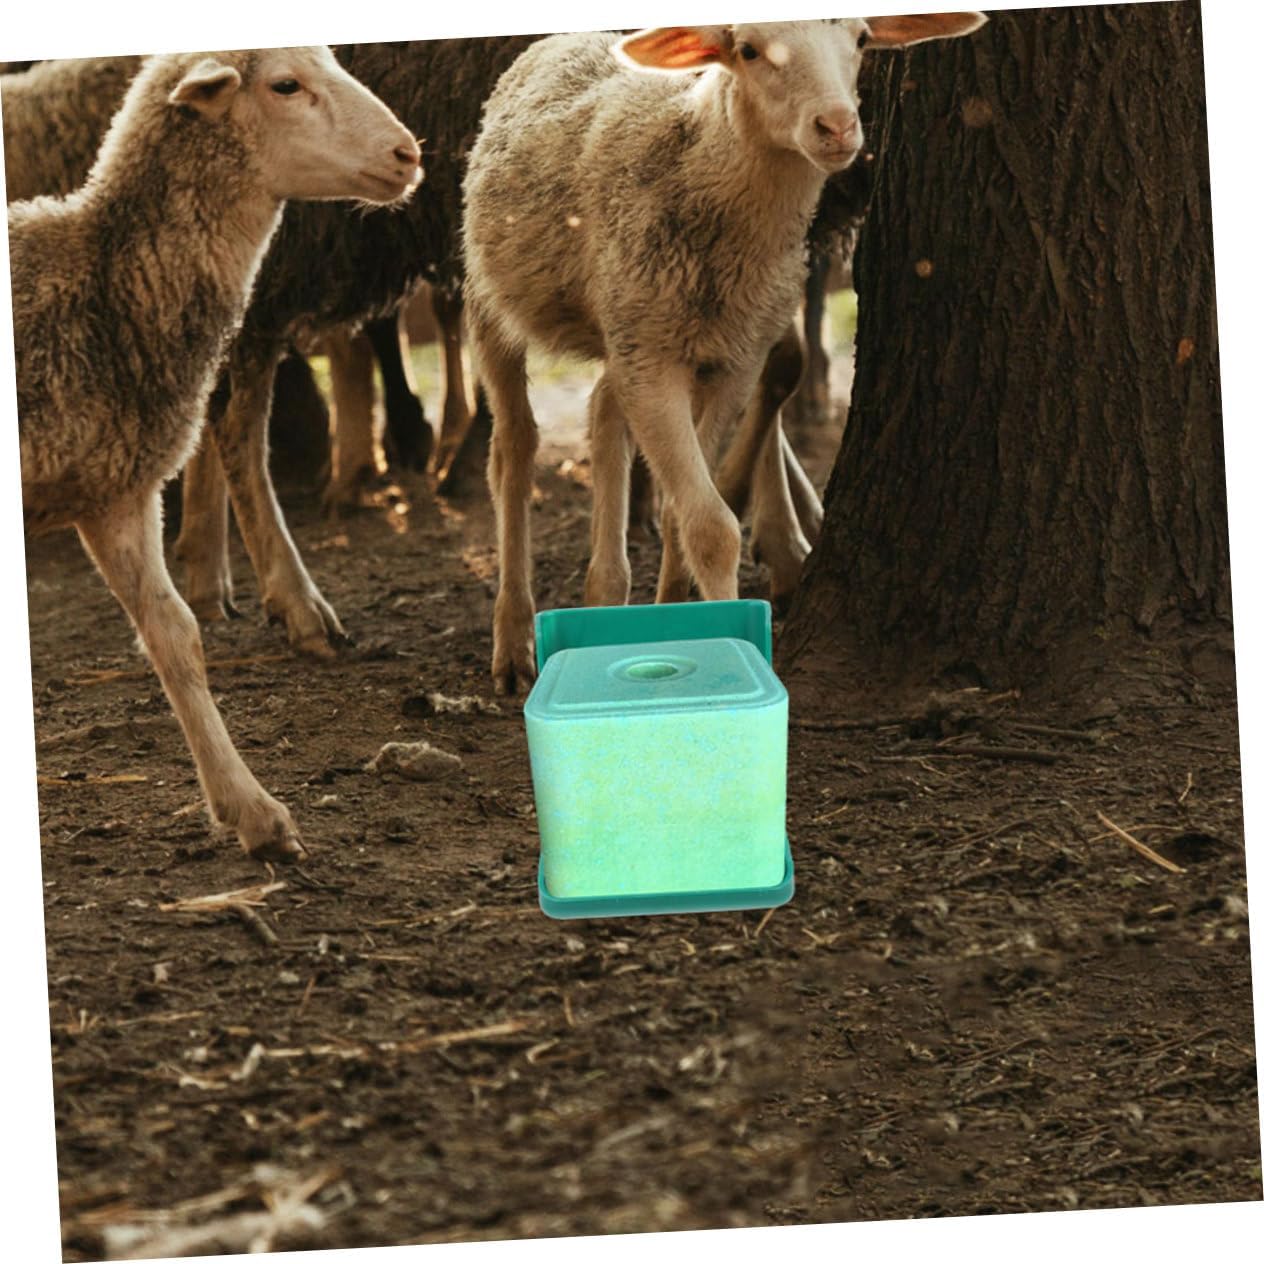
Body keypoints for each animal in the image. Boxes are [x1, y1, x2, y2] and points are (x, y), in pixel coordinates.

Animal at [10, 46, 421, 859]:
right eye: (285, 85)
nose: (407, 154)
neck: (101, 281)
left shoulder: (119, 491)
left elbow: (176, 634)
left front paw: (252, 810)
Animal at [463, 16, 986, 693]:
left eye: (864, 40)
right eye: (748, 50)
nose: (837, 127)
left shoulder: (733, 359)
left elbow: (685, 513)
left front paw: (674, 615)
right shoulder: (653, 360)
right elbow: (710, 527)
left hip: (625, 322)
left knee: (603, 408)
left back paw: (606, 588)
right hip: (491, 293)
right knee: (513, 451)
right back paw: (513, 641)